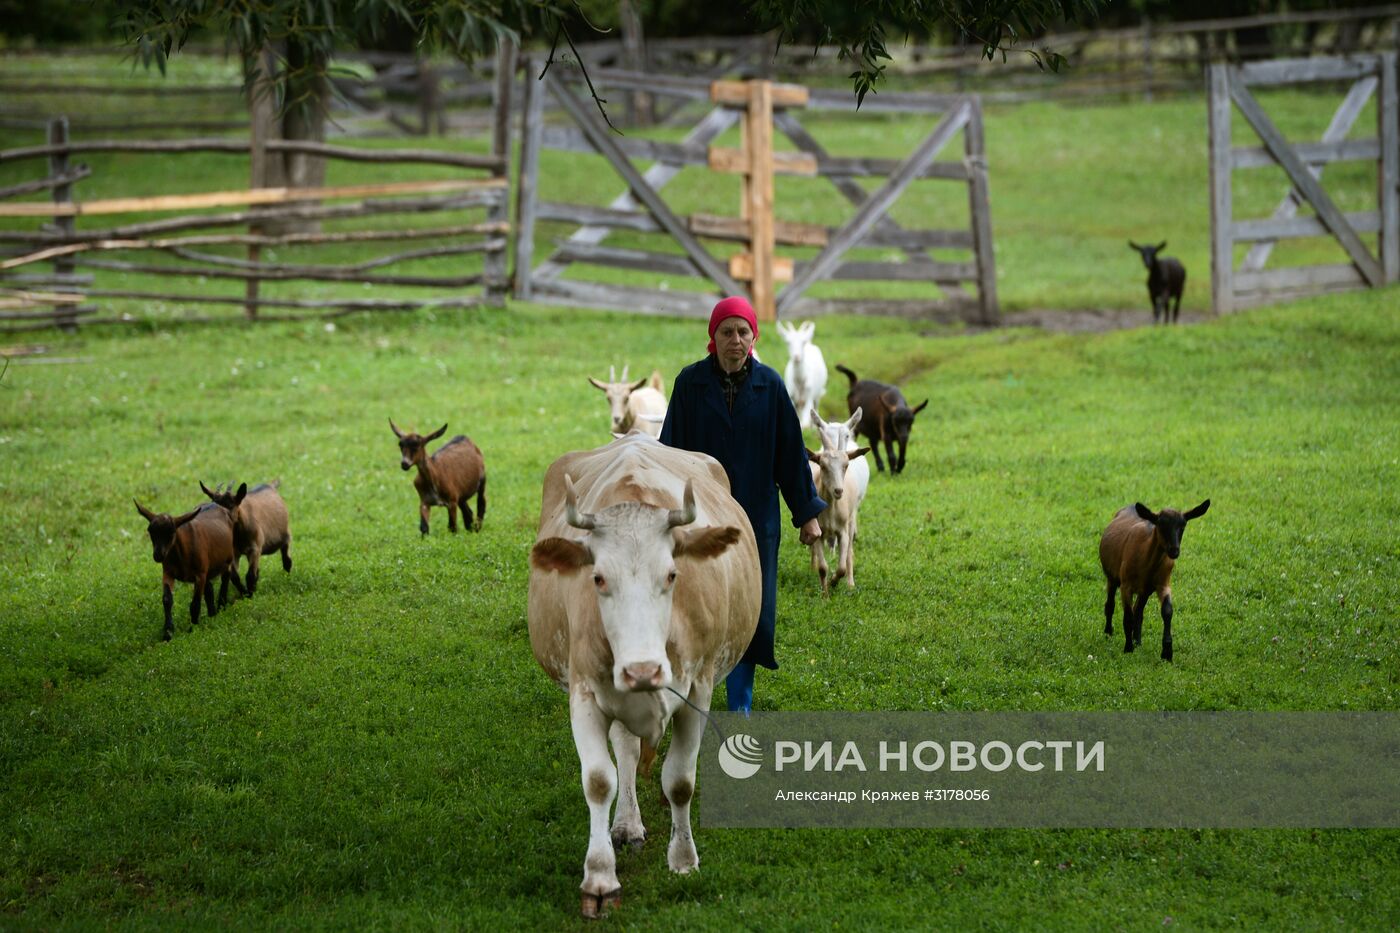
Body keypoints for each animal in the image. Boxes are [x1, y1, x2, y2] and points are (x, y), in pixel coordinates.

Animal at [133, 493, 240, 638]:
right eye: (150, 531)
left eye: (171, 532)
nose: (158, 555)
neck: (181, 557)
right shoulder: (168, 572)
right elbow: (167, 600)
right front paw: (168, 632)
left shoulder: (199, 575)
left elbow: (195, 604)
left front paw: (192, 629)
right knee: (209, 590)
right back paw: (212, 614)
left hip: (226, 561)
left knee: (225, 581)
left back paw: (221, 607)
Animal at [529, 431, 761, 913]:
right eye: (598, 578)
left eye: (672, 574)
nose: (641, 670)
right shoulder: (583, 692)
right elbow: (599, 781)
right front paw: (599, 876)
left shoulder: (699, 690)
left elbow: (680, 781)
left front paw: (684, 859)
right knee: (627, 751)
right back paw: (626, 825)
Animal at [806, 409, 868, 596]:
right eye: (823, 466)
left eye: (845, 466)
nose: (838, 491)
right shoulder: (818, 531)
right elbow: (823, 567)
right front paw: (825, 593)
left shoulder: (843, 531)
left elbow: (841, 567)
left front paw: (834, 582)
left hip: (852, 518)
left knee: (849, 553)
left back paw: (850, 583)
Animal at [1097, 498, 1209, 658]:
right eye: (1160, 525)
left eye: (1183, 526)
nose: (1174, 551)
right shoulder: (1126, 586)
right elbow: (1128, 617)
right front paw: (1128, 648)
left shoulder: (1163, 584)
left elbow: (1167, 611)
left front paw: (1167, 652)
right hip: (1112, 577)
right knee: (1110, 604)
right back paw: (1108, 633)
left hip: (1145, 590)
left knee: (1138, 611)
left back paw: (1138, 642)